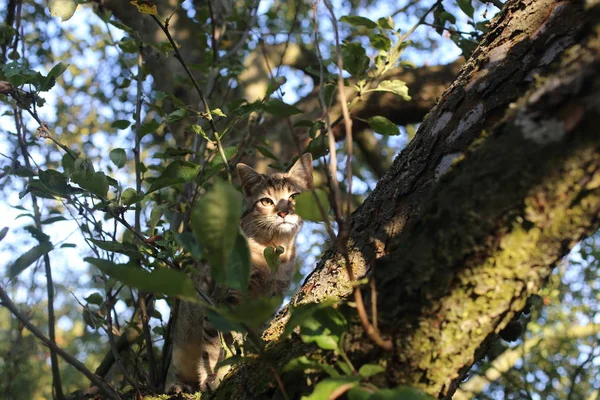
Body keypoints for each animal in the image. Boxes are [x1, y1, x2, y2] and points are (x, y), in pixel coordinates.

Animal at [165, 154, 314, 394]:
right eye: (266, 201)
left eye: (294, 196)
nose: (283, 212)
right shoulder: (223, 299)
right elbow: (216, 345)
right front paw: (213, 377)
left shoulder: (270, 300)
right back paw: (178, 385)